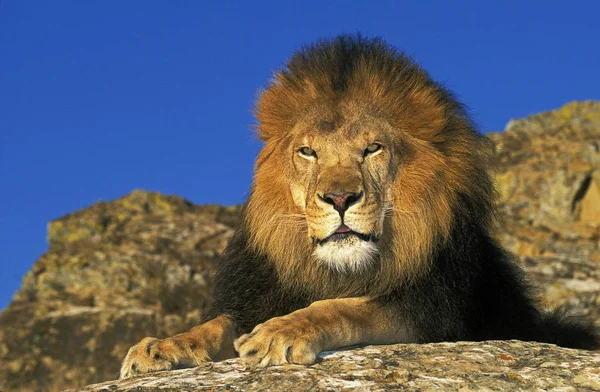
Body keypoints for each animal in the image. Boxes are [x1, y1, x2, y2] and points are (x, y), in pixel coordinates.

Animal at [119, 35, 596, 378]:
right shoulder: (257, 294)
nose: (340, 198)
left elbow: (349, 306)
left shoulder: (431, 317)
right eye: (308, 152)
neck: (339, 270)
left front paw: (279, 331)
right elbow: (218, 322)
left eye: (372, 149)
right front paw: (162, 346)